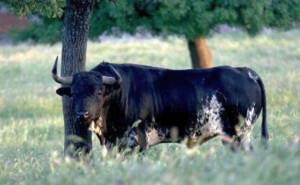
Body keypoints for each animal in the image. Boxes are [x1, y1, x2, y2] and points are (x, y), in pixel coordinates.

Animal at [51, 58, 268, 152]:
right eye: (74, 93)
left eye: (98, 93)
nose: (83, 114)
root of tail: (245, 71)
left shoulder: (136, 142)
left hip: (238, 134)